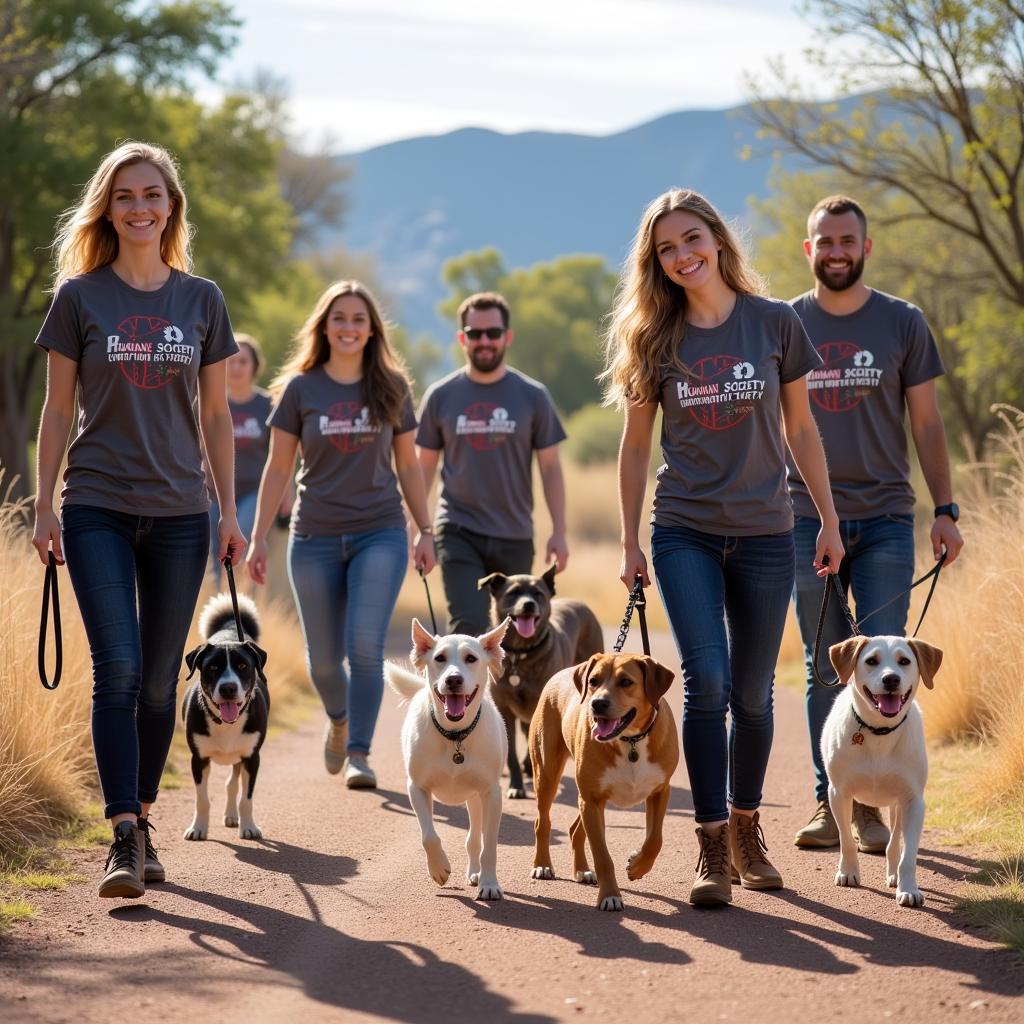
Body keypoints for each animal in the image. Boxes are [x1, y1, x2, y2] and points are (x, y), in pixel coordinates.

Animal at [182, 593, 268, 839]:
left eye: (242, 665)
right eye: (212, 667)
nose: (228, 688)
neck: (226, 723)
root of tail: (230, 628)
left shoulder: (252, 758)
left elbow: (246, 798)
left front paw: (248, 827)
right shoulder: (198, 759)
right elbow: (202, 799)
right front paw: (198, 828)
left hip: (240, 757)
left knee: (232, 784)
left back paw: (232, 816)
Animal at [385, 614, 512, 897]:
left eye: (471, 658)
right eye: (440, 657)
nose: (453, 680)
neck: (455, 735)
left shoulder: (492, 794)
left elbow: (489, 844)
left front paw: (489, 883)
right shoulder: (417, 788)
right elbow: (429, 836)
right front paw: (439, 868)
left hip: (476, 799)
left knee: (474, 839)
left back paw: (476, 872)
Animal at [477, 569, 602, 798]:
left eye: (538, 594)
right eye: (513, 592)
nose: (528, 604)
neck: (520, 656)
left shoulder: (540, 706)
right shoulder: (505, 710)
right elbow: (512, 754)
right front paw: (516, 785)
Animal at [528, 651, 679, 909]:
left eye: (626, 681)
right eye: (593, 681)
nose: (597, 703)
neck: (631, 741)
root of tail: (561, 672)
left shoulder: (660, 791)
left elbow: (655, 840)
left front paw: (637, 866)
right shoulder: (592, 800)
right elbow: (602, 855)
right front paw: (610, 895)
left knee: (575, 829)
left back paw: (582, 870)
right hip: (548, 775)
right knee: (543, 822)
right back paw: (542, 865)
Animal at [823, 634, 942, 909]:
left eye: (904, 661)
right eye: (871, 661)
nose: (891, 679)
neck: (880, 733)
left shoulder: (914, 801)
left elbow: (908, 854)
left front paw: (908, 888)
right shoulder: (838, 793)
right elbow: (846, 840)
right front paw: (848, 872)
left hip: (898, 804)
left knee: (894, 843)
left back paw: (894, 874)